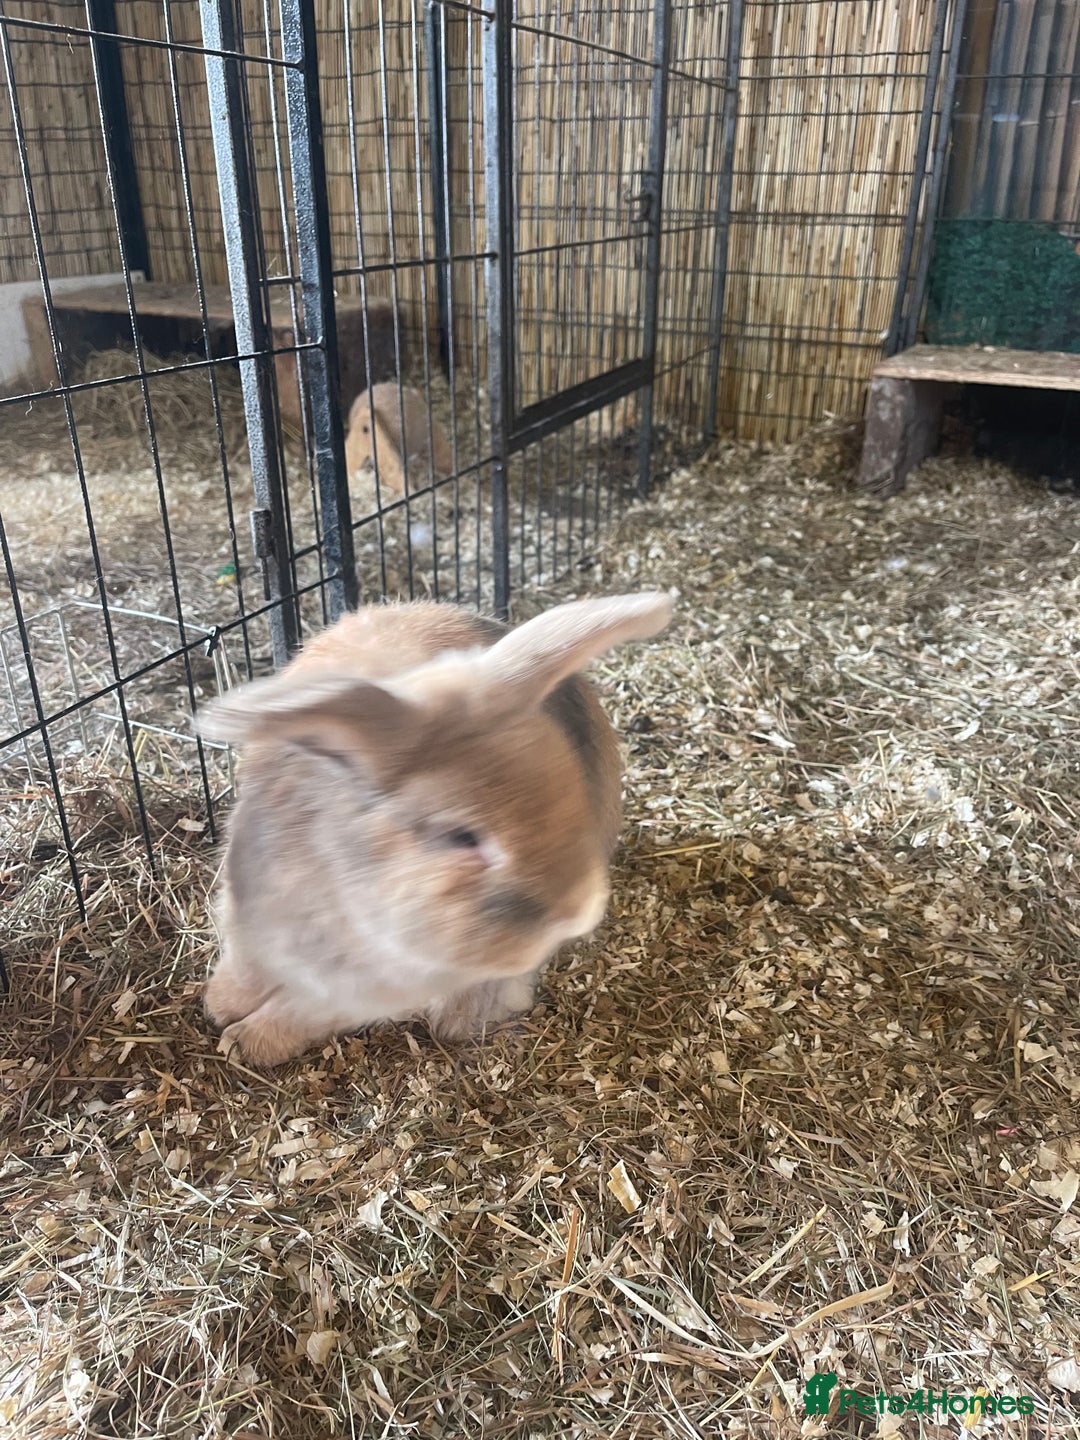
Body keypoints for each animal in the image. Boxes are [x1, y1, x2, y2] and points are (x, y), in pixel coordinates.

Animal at [196, 591, 673, 1068]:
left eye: (572, 798)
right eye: (462, 836)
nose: (576, 912)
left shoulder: (355, 991)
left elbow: (300, 1012)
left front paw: (246, 1040)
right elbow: (246, 969)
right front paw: (220, 1007)